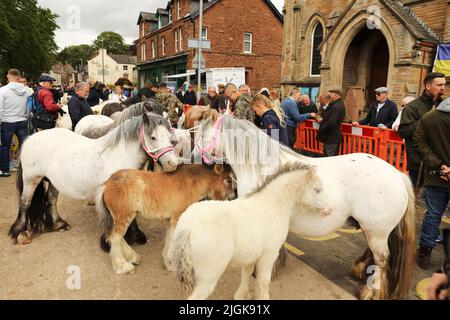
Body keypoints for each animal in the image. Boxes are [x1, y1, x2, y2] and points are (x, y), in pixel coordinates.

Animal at [9, 112, 180, 245]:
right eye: (153, 137)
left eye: (170, 138)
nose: (173, 163)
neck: (121, 154)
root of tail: (30, 138)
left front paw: (135, 236)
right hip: (31, 179)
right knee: (25, 203)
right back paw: (20, 233)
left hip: (54, 182)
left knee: (51, 200)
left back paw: (58, 224)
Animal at [95, 164, 236, 274]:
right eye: (228, 180)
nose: (232, 197)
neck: (191, 183)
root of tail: (107, 184)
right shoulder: (177, 217)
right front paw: (173, 264)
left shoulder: (171, 219)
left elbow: (169, 239)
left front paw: (168, 263)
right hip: (124, 217)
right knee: (114, 238)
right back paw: (123, 267)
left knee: (118, 238)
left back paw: (132, 257)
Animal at [194, 115, 418, 300]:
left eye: (203, 134)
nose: (197, 159)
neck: (261, 168)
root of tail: (398, 175)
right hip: (371, 229)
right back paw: (360, 270)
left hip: (377, 232)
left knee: (382, 260)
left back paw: (372, 291)